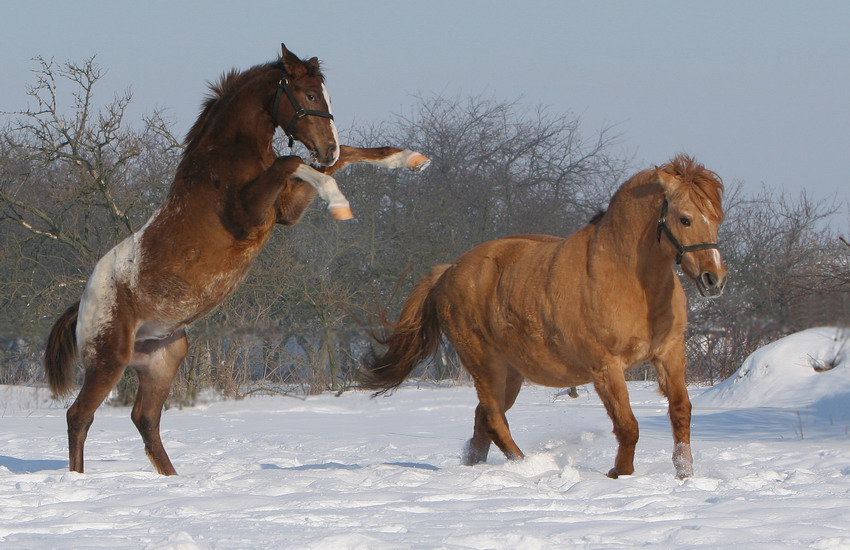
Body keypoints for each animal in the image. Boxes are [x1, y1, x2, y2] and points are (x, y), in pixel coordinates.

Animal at [44, 44, 430, 474]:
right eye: (309, 94)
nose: (326, 146)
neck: (226, 158)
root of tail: (81, 305)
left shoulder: (283, 212)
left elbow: (332, 160)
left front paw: (409, 159)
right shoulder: (248, 215)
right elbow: (293, 162)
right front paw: (339, 202)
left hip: (163, 360)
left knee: (145, 419)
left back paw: (175, 480)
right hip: (109, 359)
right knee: (79, 416)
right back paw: (79, 480)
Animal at [362, 154, 724, 478]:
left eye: (716, 217)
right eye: (685, 219)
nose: (714, 279)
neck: (627, 280)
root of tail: (447, 271)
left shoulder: (668, 353)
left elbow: (681, 412)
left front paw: (685, 474)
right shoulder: (606, 367)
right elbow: (627, 426)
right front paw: (619, 474)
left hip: (510, 373)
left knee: (483, 421)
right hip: (485, 366)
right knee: (494, 420)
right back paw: (527, 467)